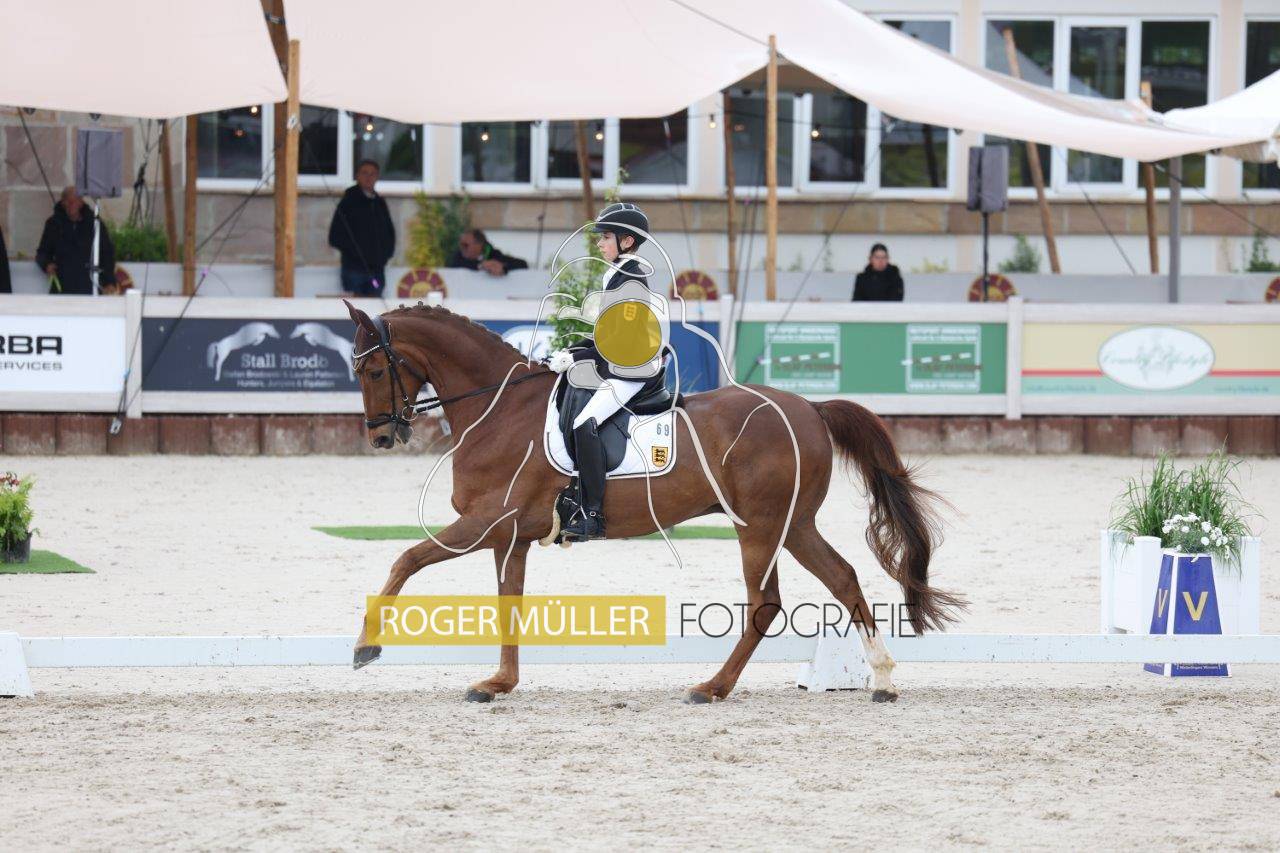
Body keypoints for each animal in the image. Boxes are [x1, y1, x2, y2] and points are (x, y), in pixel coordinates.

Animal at [344, 300, 963, 704]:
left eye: (373, 369)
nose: (381, 437)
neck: (500, 409)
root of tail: (810, 407)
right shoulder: (509, 535)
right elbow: (508, 604)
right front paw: (499, 683)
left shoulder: (484, 522)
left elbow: (405, 559)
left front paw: (366, 648)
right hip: (793, 526)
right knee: (843, 579)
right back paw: (882, 680)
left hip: (760, 526)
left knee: (766, 604)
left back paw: (711, 688)